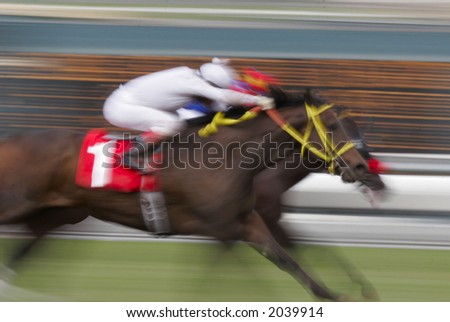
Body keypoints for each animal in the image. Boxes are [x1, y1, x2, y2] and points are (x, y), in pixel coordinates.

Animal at [0, 88, 370, 302]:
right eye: (333, 126)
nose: (361, 166)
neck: (226, 158)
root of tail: (10, 140)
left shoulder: (246, 222)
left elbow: (287, 261)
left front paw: (340, 295)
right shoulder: (221, 231)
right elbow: (213, 280)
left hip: (59, 214)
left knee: (22, 253)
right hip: (19, 204)